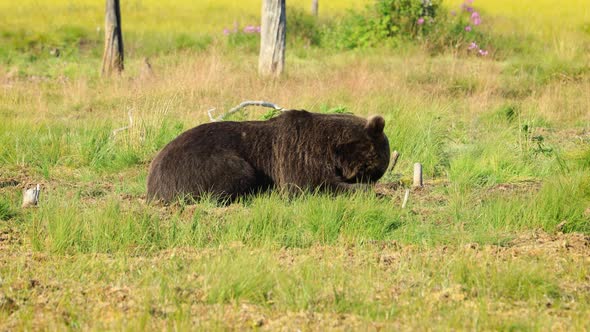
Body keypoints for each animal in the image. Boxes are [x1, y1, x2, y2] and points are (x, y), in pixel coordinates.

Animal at [146, 109, 390, 202]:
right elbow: (309, 184)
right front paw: (370, 191)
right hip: (202, 164)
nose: (370, 180)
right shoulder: (301, 153)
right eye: (372, 171)